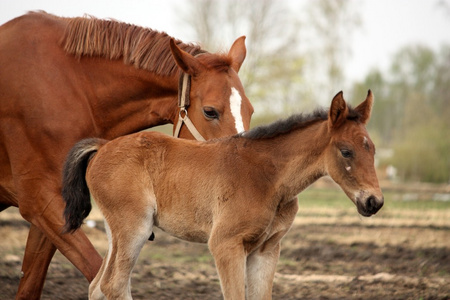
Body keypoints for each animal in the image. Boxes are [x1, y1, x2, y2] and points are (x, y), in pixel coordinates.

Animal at [63, 90, 384, 298]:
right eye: (346, 151)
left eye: (373, 150)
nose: (374, 202)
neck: (269, 178)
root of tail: (103, 146)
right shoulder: (226, 245)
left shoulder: (266, 250)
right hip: (135, 229)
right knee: (113, 285)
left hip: (115, 231)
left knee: (98, 286)